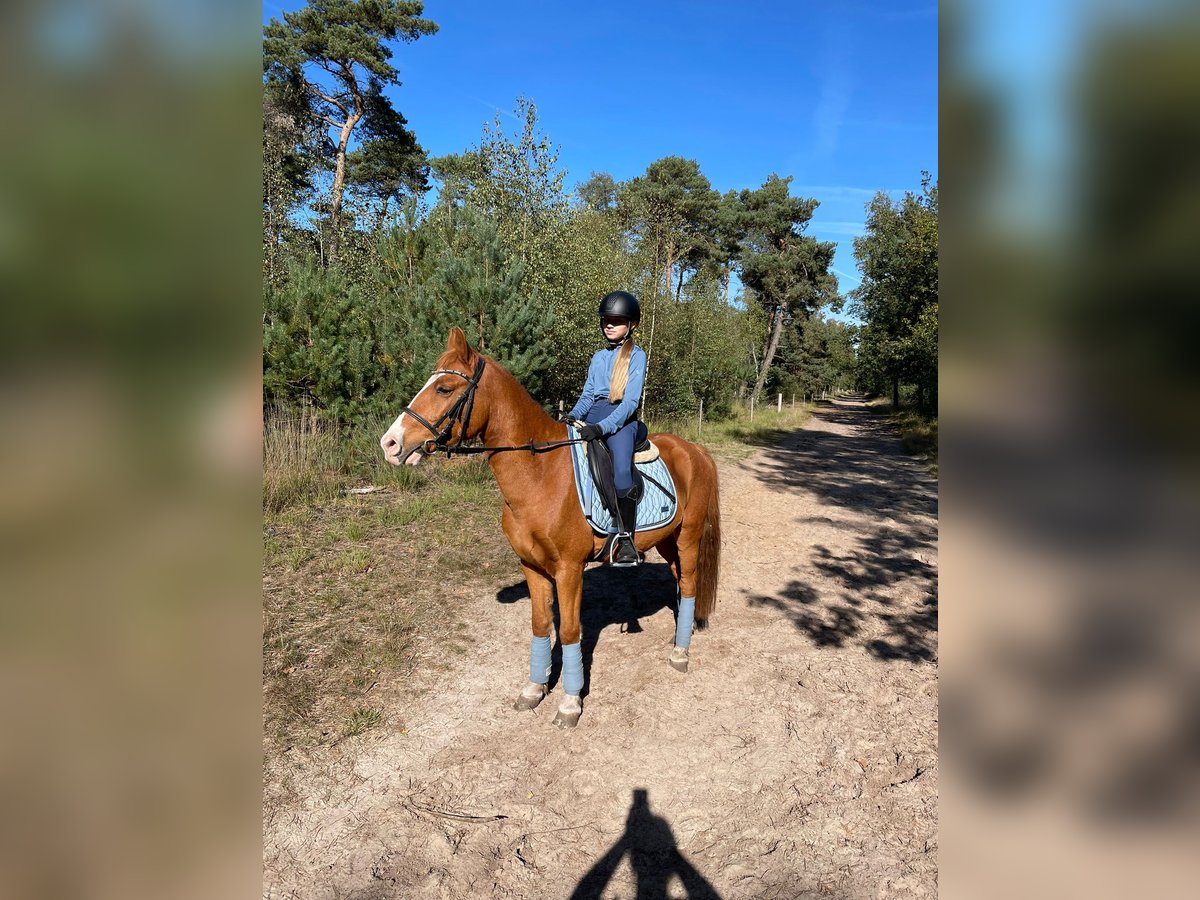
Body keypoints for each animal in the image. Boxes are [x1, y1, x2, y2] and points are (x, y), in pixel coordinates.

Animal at [381, 328, 720, 729]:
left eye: (445, 389)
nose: (390, 443)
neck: (540, 475)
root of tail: (695, 450)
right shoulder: (532, 566)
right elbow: (541, 625)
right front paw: (534, 688)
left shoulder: (569, 570)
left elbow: (571, 631)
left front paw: (570, 703)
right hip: (667, 540)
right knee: (681, 581)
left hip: (688, 537)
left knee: (691, 584)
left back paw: (681, 653)